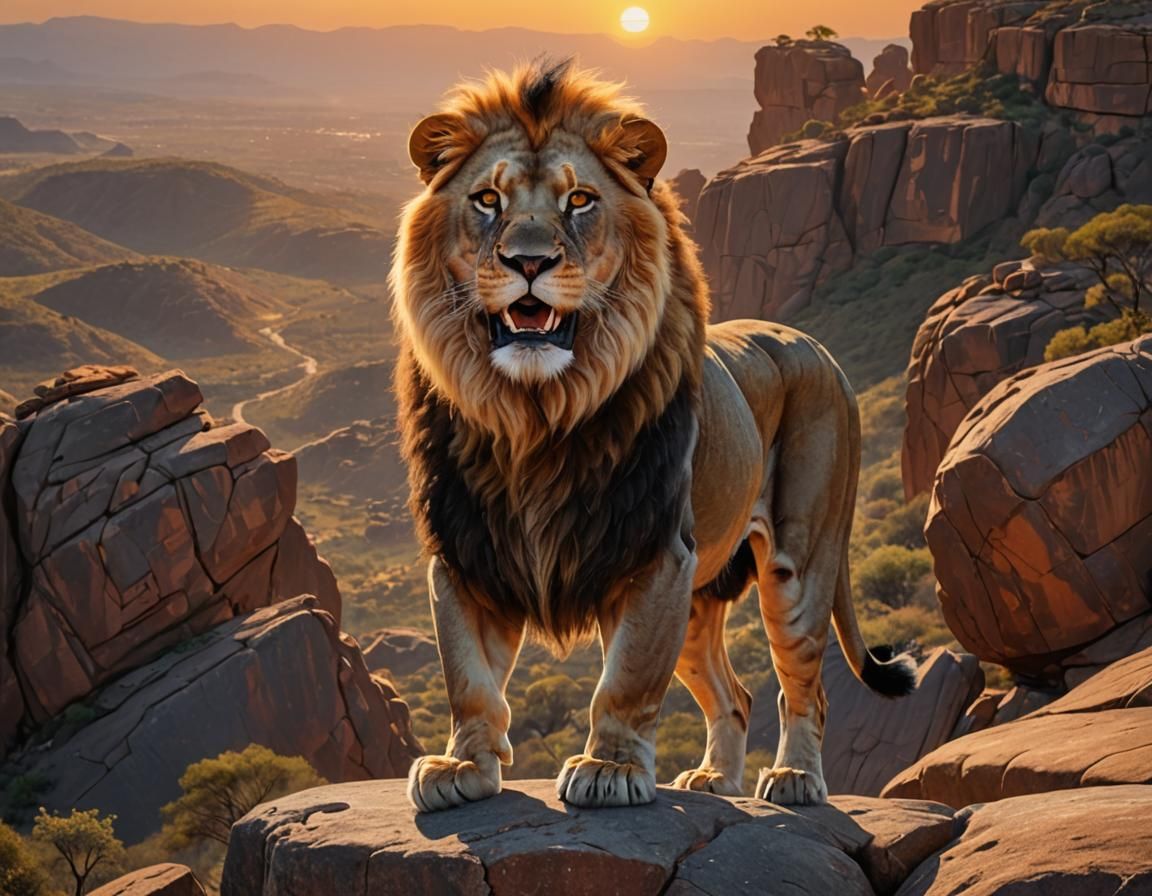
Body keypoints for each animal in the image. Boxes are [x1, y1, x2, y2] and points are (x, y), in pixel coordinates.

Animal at [391, 59, 916, 813]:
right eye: (487, 199)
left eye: (580, 200)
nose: (528, 262)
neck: (533, 416)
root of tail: (817, 348)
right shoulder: (466, 551)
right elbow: (468, 676)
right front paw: (461, 765)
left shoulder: (653, 552)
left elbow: (628, 677)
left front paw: (608, 769)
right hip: (698, 604)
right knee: (736, 696)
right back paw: (715, 780)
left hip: (799, 566)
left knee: (804, 690)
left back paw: (794, 779)